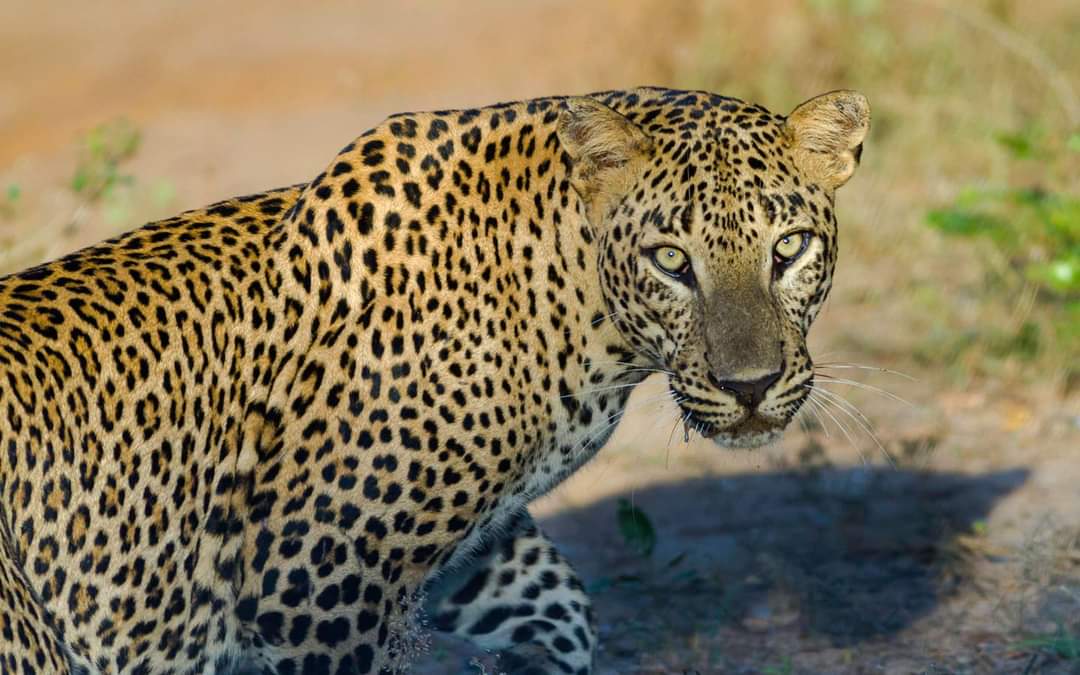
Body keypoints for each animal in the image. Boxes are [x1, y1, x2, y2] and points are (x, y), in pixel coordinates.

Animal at [0, 86, 869, 674]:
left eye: (789, 248)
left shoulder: (469, 543)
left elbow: (560, 605)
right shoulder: (313, 578)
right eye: (671, 261)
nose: (751, 385)